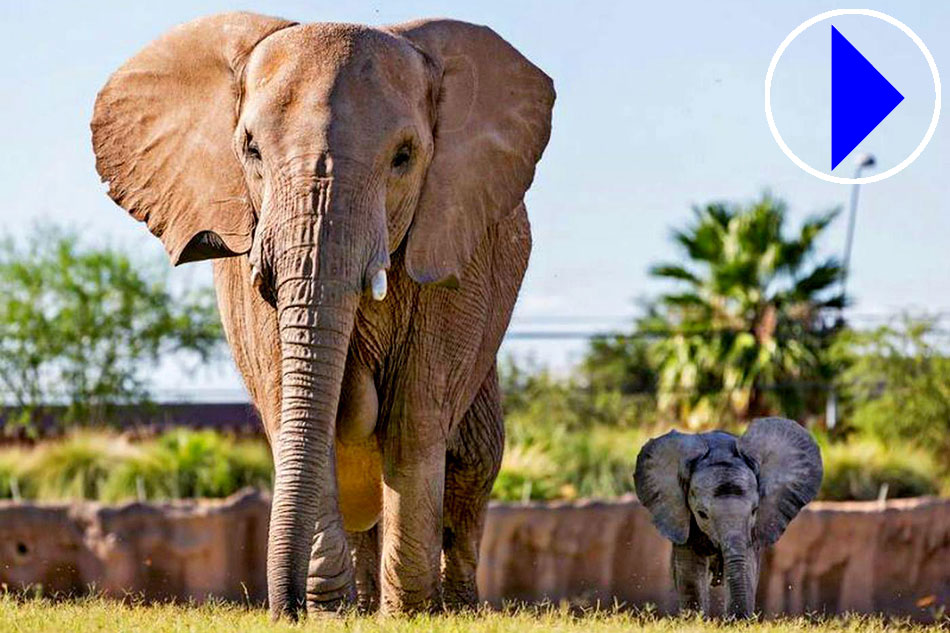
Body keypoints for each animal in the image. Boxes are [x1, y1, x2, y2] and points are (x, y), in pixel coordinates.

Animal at [93, 12, 556, 620]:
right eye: (251, 150)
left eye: (404, 157)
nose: (279, 610)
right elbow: (292, 412)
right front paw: (331, 612)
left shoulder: (459, 247)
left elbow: (413, 421)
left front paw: (409, 615)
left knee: (473, 460)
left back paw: (454, 609)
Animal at [640, 418, 824, 616]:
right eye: (702, 514)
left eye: (755, 511)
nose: (738, 618)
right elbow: (690, 567)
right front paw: (694, 619)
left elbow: (748, 562)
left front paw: (738, 620)